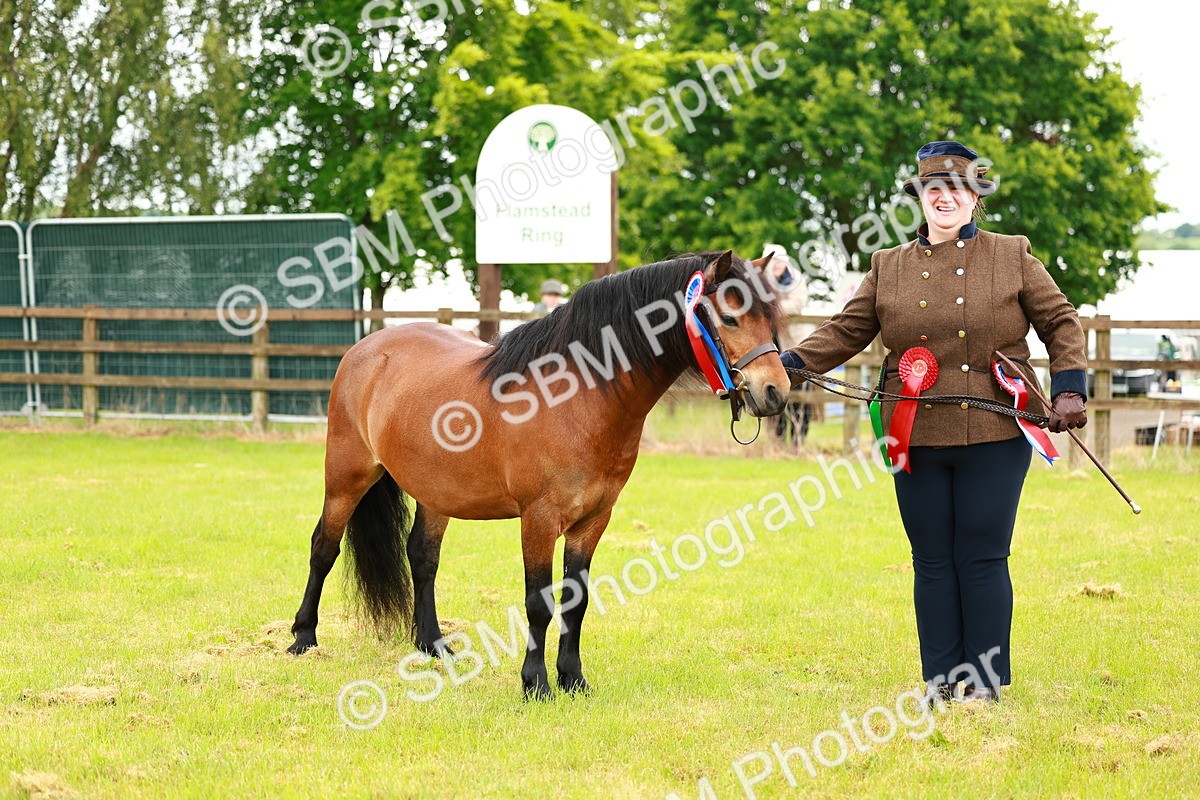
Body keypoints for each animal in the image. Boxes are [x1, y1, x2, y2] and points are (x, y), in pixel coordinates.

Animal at [286, 250, 790, 698]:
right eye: (729, 319)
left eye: (772, 320)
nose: (775, 392)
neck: (578, 397)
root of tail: (368, 348)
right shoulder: (539, 519)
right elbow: (539, 602)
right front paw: (536, 684)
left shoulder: (593, 521)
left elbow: (576, 600)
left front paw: (573, 679)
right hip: (346, 477)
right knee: (323, 547)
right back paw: (303, 638)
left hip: (437, 492)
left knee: (423, 558)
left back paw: (433, 645)